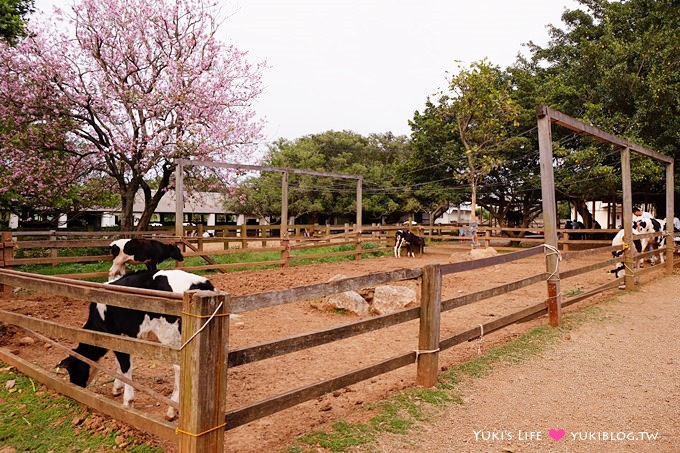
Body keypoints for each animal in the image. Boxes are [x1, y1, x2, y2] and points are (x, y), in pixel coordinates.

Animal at [57, 268, 214, 420]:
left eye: (73, 369)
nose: (75, 388)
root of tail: (201, 282)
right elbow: (120, 363)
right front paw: (117, 388)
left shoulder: (118, 336)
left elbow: (125, 366)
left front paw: (127, 401)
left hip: (172, 339)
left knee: (179, 369)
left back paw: (171, 411)